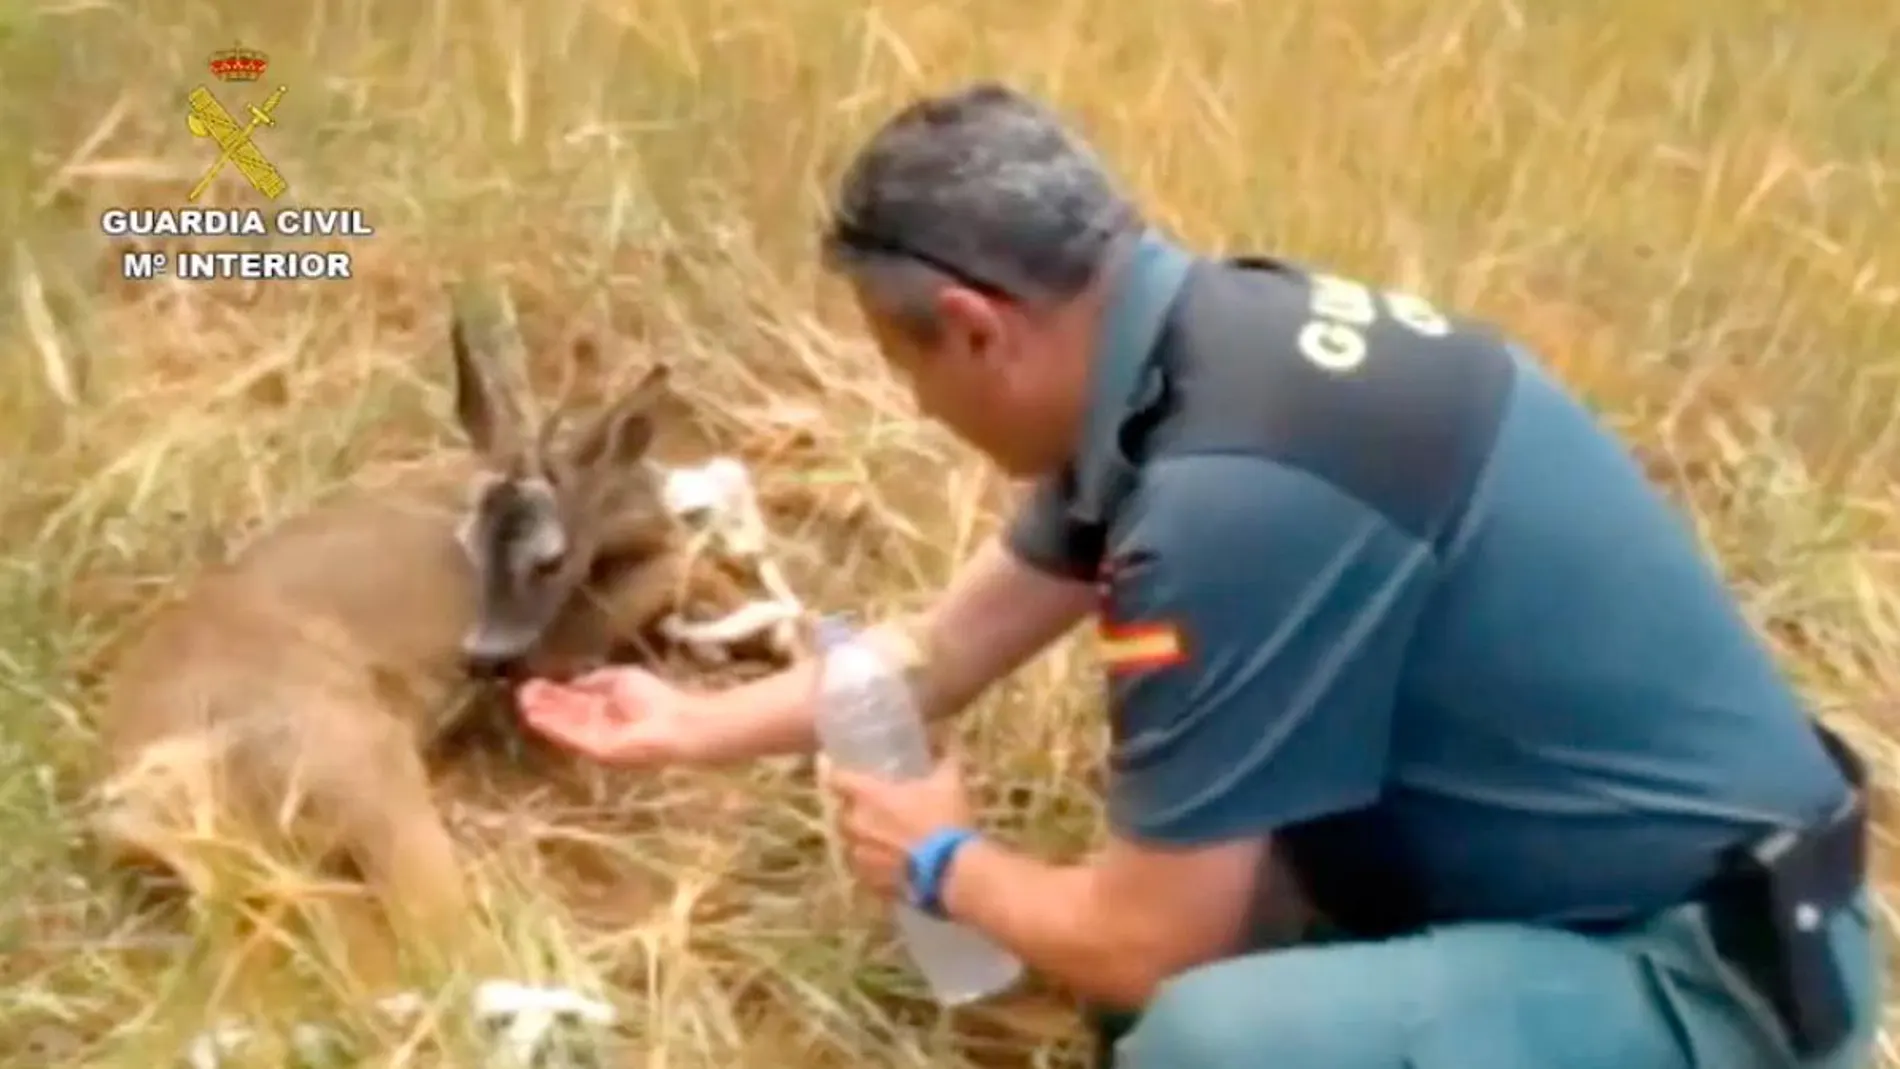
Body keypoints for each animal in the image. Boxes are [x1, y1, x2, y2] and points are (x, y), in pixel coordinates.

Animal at [90, 300, 801, 1063]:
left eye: (545, 558)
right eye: (474, 544)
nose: (479, 657)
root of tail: (142, 790)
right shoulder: (557, 642)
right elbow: (680, 567)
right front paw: (770, 621)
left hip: (276, 852)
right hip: (354, 758)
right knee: (433, 948)